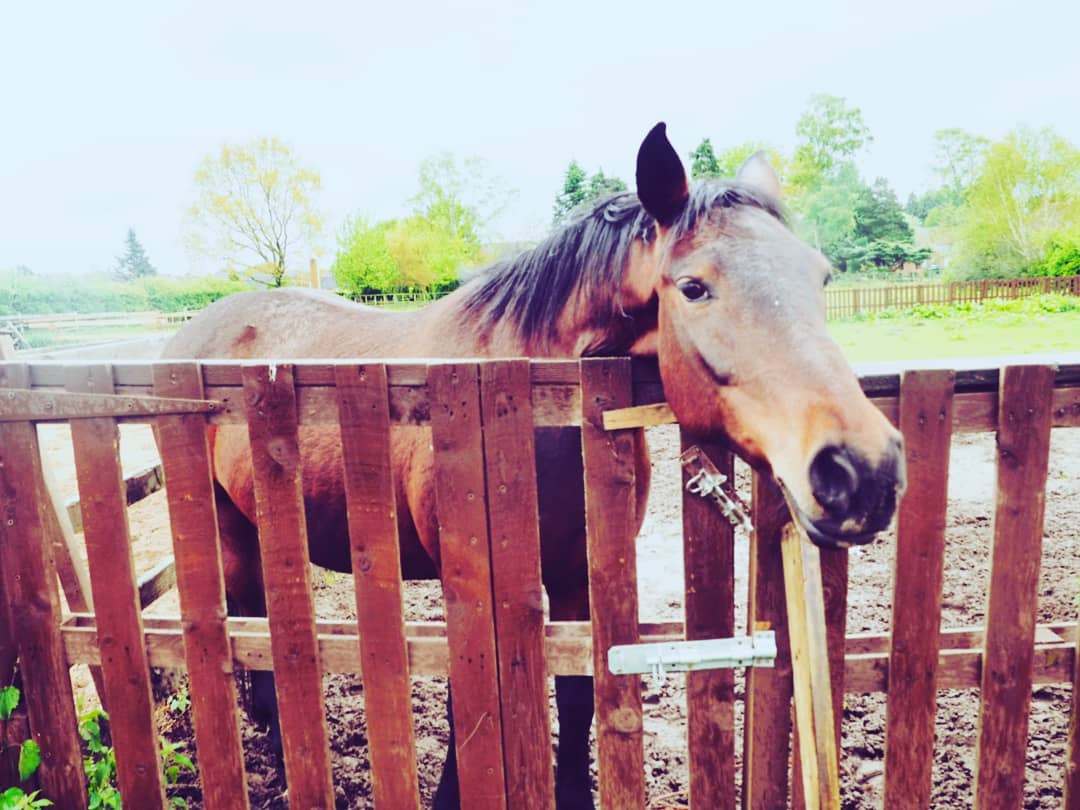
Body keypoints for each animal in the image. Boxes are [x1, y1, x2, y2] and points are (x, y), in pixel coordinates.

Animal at [161, 122, 905, 809]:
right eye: (694, 287)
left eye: (821, 276)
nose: (864, 472)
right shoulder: (469, 581)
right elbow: (466, 696)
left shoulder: (575, 573)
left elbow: (575, 693)